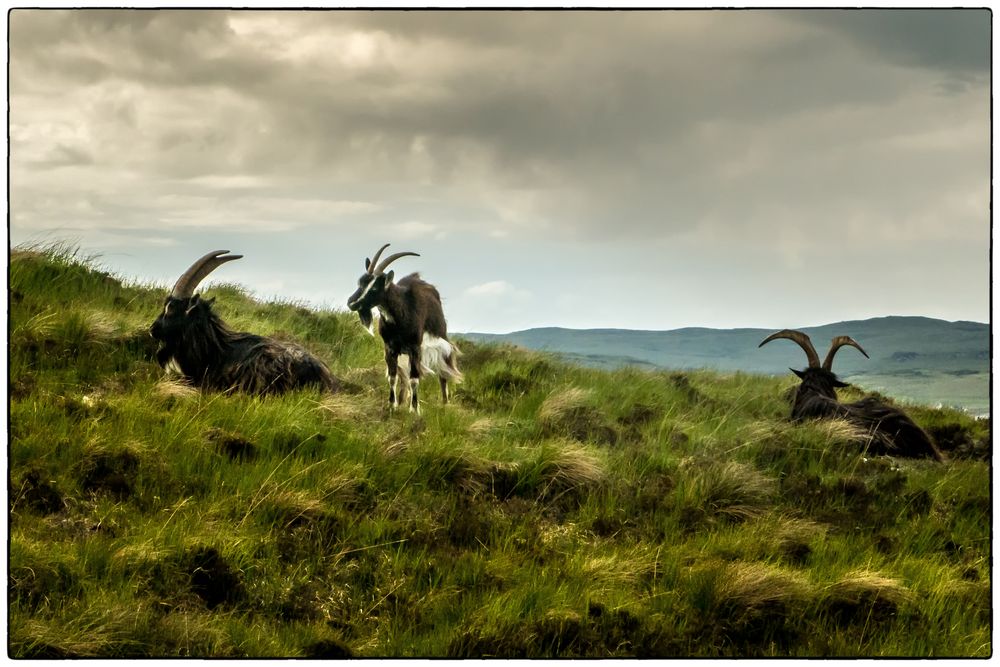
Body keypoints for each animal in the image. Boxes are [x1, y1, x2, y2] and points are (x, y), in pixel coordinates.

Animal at [344, 243, 460, 414]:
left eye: (374, 288)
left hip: (440, 339)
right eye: (361, 283)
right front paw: (392, 405)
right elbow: (393, 377)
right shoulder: (390, 348)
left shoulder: (415, 348)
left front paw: (415, 410)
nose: (351, 303)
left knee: (442, 369)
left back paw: (444, 403)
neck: (401, 313)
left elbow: (414, 379)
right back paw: (403, 399)